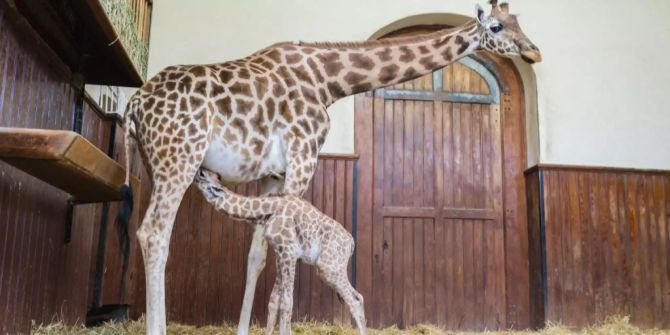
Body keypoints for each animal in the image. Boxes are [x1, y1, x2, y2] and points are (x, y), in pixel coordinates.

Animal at [196, 171, 368, 335]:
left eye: (203, 176)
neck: (268, 211)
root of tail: (351, 244)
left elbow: (287, 302)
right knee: (359, 296)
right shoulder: (280, 253)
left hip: (328, 267)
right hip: (334, 268)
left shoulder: (289, 251)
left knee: (354, 301)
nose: (199, 171)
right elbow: (274, 301)